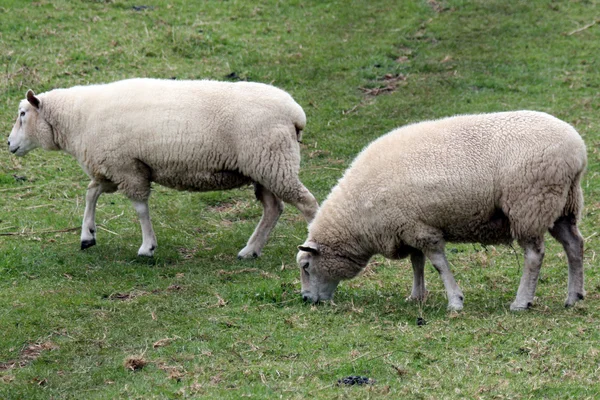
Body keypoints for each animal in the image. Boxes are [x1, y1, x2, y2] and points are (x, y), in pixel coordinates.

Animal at [8, 77, 318, 258]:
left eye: (22, 114)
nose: (9, 143)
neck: (77, 119)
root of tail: (295, 114)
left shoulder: (127, 167)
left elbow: (139, 208)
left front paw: (147, 247)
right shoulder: (113, 167)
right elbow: (91, 192)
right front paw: (87, 235)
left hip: (273, 162)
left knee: (307, 204)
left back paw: (311, 248)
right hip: (263, 167)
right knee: (273, 208)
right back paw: (250, 250)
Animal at [298, 111, 588, 310]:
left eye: (306, 266)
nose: (305, 299)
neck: (358, 215)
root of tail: (578, 151)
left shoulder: (420, 229)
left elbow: (437, 264)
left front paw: (455, 302)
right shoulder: (409, 226)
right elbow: (417, 263)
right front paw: (416, 296)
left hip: (529, 203)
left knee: (534, 255)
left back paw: (521, 301)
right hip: (563, 204)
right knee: (574, 245)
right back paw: (573, 297)